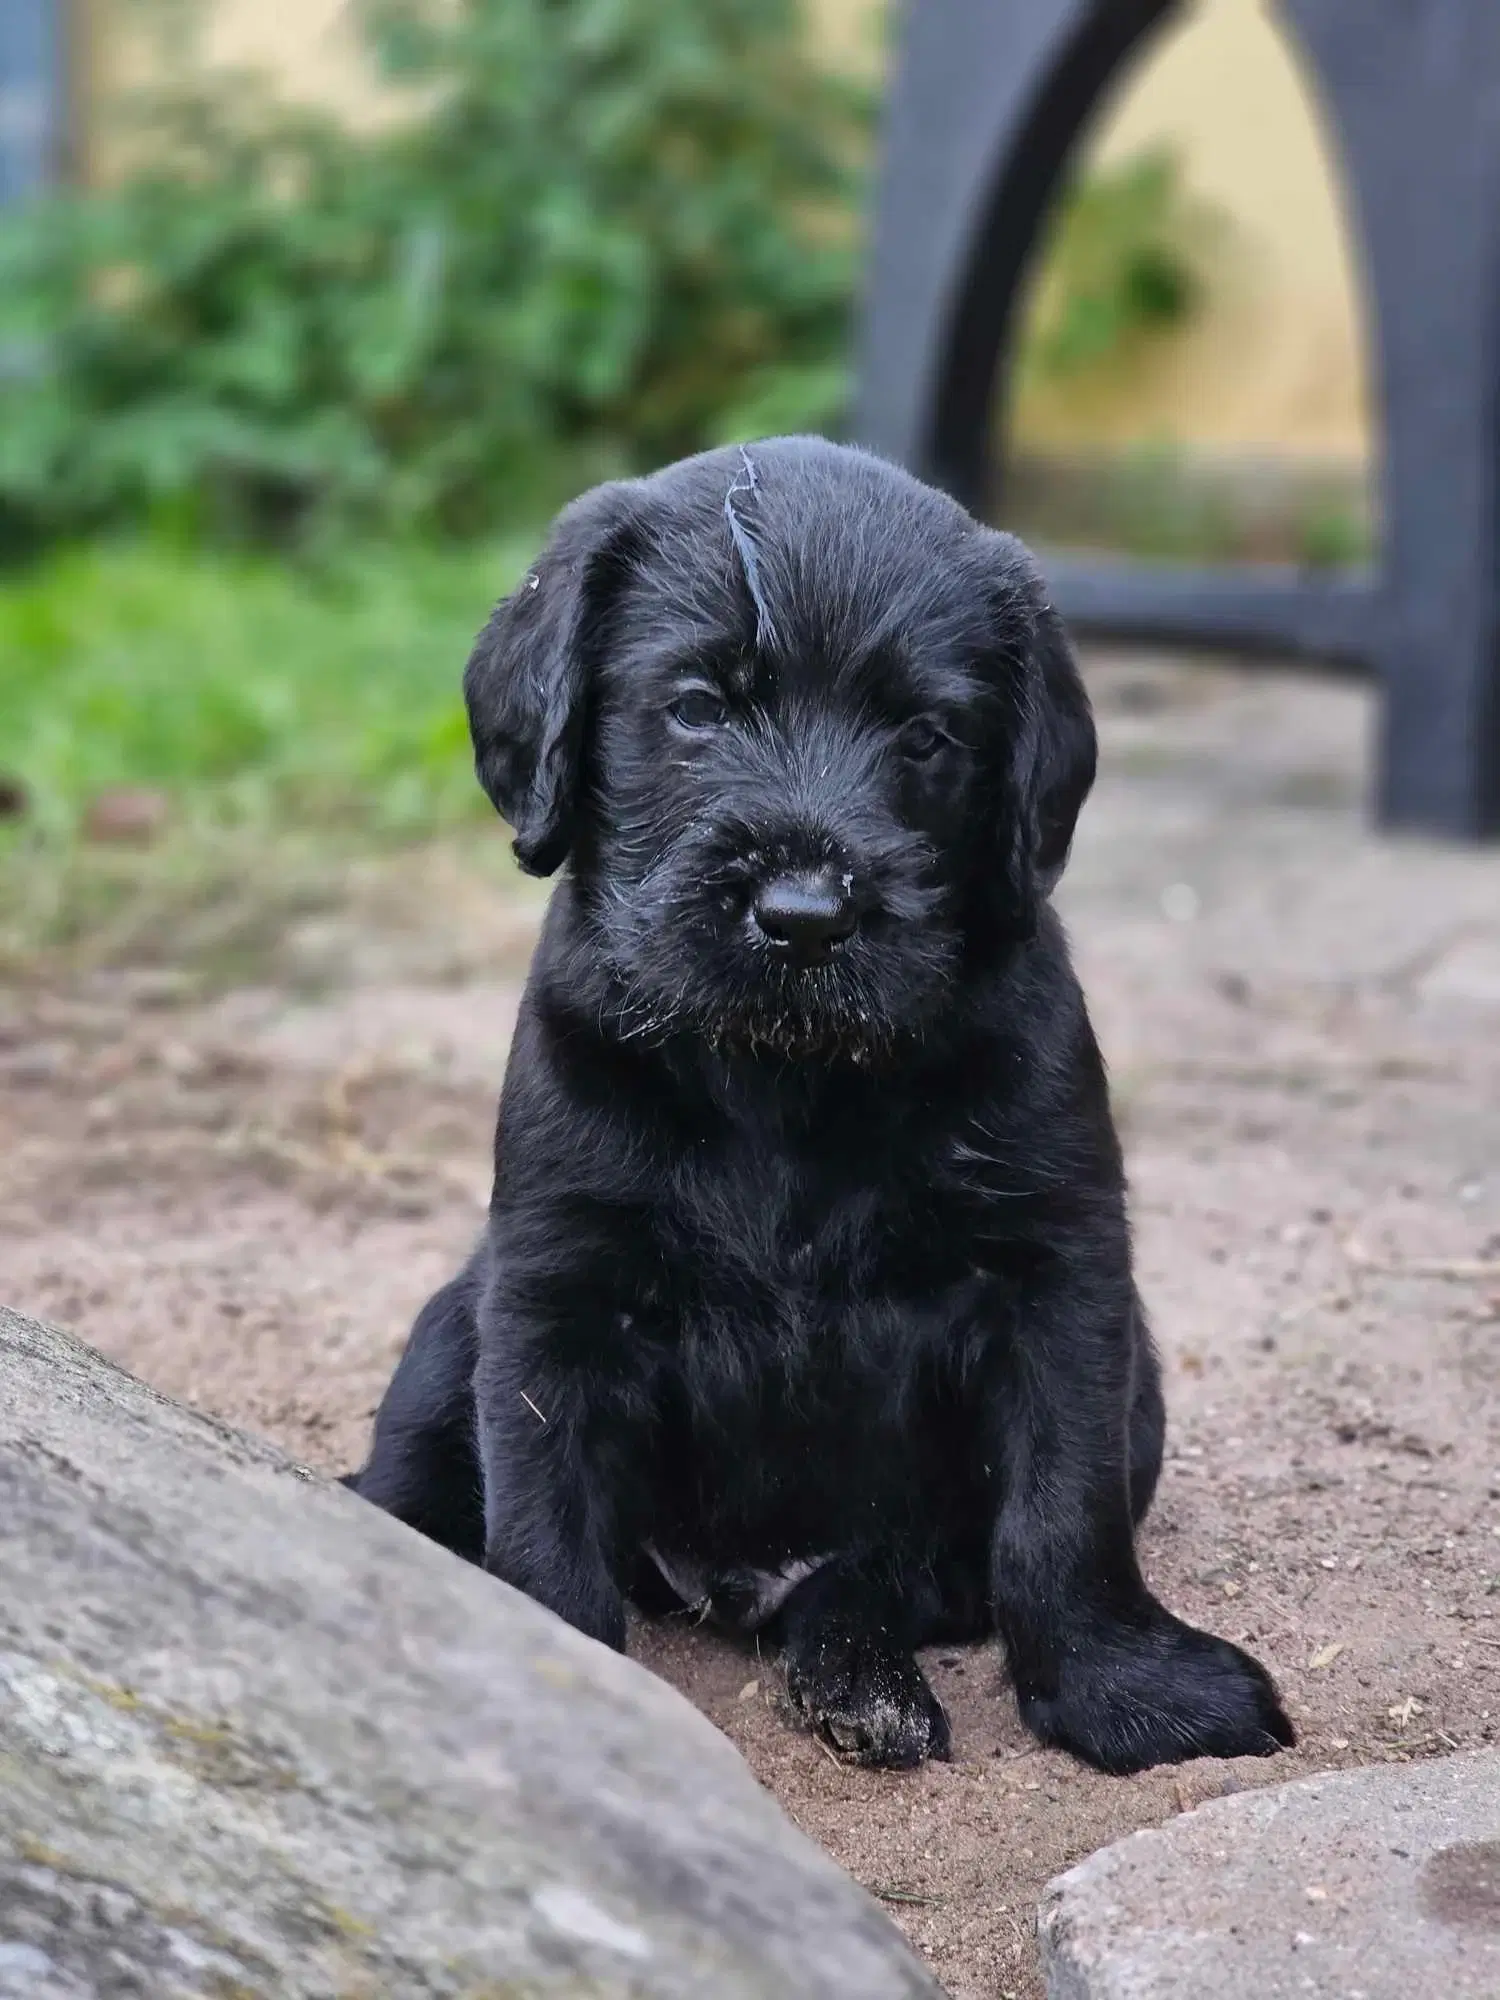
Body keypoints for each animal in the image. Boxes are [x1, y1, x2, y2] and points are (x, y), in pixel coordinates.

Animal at [346, 434, 1296, 1768]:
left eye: (927, 736)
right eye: (696, 705)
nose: (804, 914)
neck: (785, 1076)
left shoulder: (1059, 1276)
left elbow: (1062, 1510)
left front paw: (1122, 1681)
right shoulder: (552, 1287)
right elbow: (542, 1517)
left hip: (1130, 1397)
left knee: (879, 1576)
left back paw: (860, 1672)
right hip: (454, 1315)